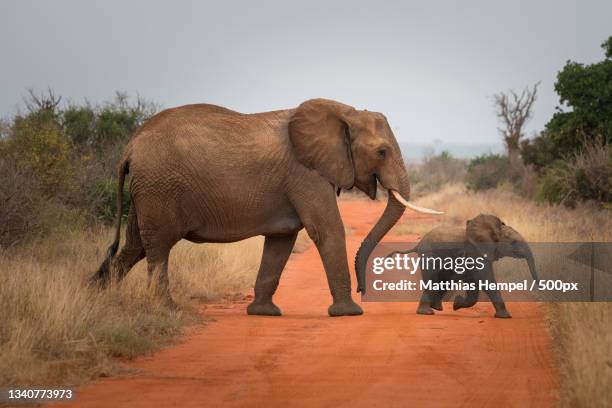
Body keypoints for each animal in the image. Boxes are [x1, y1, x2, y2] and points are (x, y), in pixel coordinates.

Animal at [92, 99, 440, 316]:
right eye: (382, 152)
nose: (364, 289)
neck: (344, 111)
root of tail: (130, 147)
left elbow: (282, 240)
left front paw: (264, 313)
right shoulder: (306, 173)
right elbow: (325, 229)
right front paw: (349, 314)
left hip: (147, 190)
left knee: (135, 246)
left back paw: (99, 296)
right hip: (159, 188)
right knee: (158, 247)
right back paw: (166, 308)